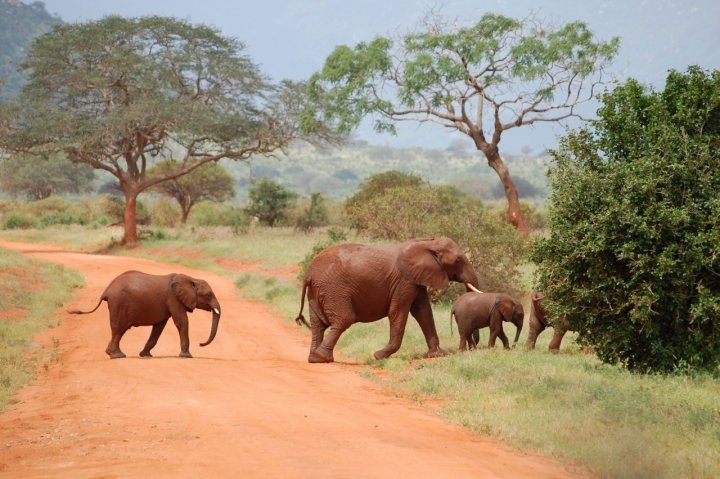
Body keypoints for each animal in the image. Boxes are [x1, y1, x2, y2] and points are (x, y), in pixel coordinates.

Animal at [70, 272, 224, 358]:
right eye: (208, 294)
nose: (201, 344)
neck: (192, 279)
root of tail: (106, 291)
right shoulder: (173, 298)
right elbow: (182, 321)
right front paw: (187, 356)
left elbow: (159, 327)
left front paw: (145, 355)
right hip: (118, 303)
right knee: (119, 329)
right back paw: (117, 356)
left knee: (121, 329)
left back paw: (110, 353)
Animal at [296, 238, 480, 366]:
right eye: (457, 261)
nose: (473, 348)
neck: (428, 243)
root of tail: (309, 272)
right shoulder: (404, 282)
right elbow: (398, 312)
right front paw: (379, 356)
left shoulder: (415, 279)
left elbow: (424, 312)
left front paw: (438, 355)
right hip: (334, 290)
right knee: (344, 319)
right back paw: (323, 357)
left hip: (317, 292)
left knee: (318, 325)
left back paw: (316, 359)